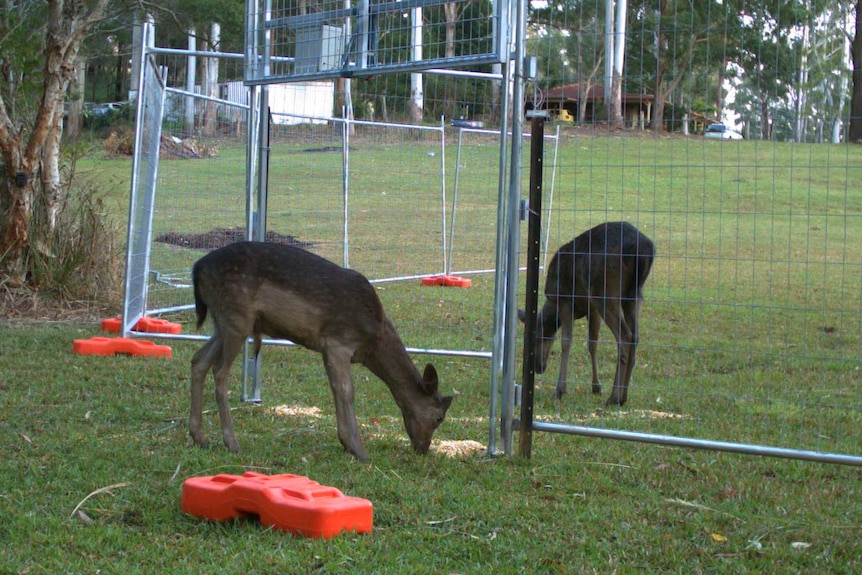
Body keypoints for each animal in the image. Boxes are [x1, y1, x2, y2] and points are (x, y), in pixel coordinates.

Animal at [189, 242, 456, 464]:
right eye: (439, 417)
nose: (423, 448)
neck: (374, 341)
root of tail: (197, 268)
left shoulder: (327, 348)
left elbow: (335, 388)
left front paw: (346, 444)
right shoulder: (340, 341)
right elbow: (347, 391)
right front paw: (360, 451)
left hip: (223, 321)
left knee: (199, 360)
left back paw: (199, 437)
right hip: (237, 315)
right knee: (220, 371)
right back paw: (231, 442)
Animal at [520, 223, 656, 408]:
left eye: (534, 338)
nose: (538, 368)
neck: (552, 303)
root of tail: (642, 250)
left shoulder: (565, 300)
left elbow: (566, 342)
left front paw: (560, 390)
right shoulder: (592, 309)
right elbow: (592, 344)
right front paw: (596, 387)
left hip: (604, 290)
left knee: (625, 336)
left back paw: (614, 397)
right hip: (633, 294)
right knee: (635, 336)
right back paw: (623, 397)